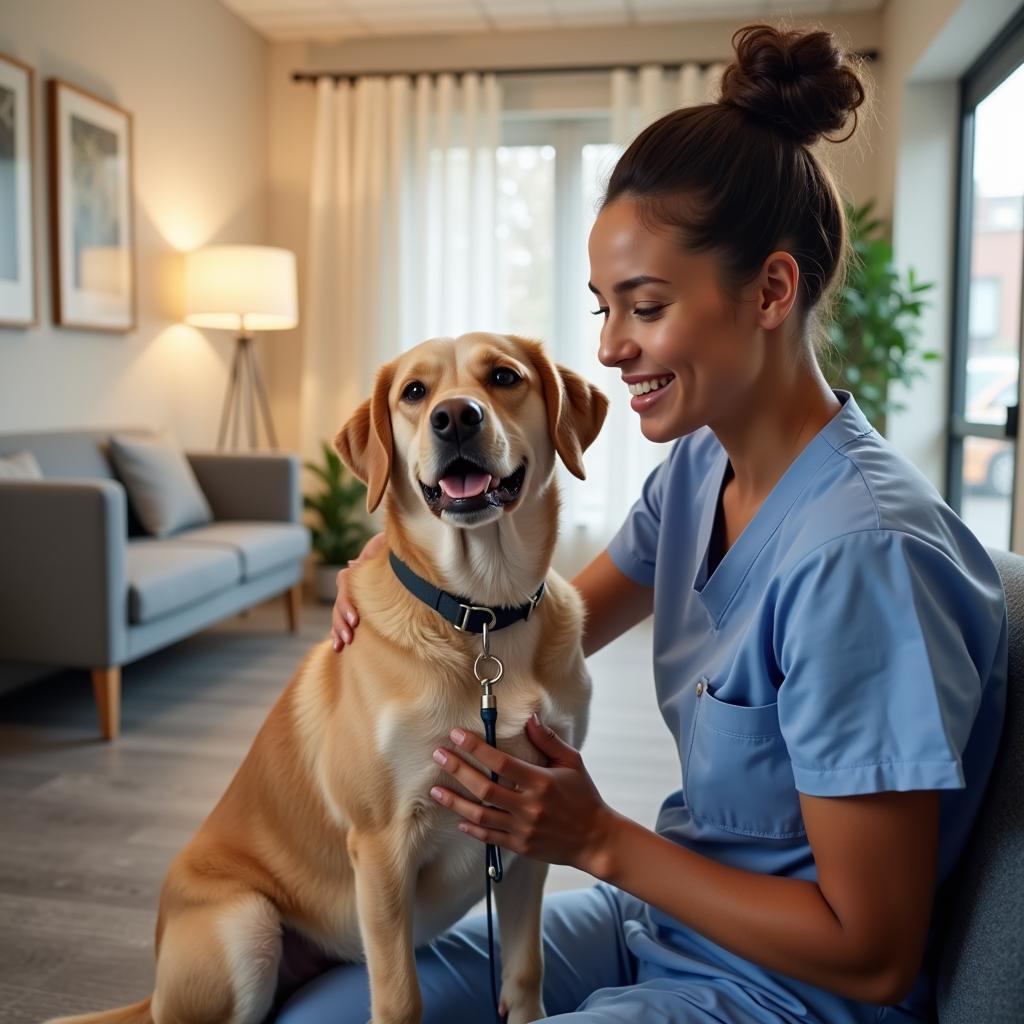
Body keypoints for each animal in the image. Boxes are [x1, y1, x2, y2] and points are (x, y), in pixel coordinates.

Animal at [48, 335, 602, 1024]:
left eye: (504, 377)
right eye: (414, 392)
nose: (454, 417)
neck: (479, 617)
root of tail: (153, 990)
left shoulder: (527, 825)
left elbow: (526, 971)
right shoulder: (382, 845)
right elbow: (399, 997)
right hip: (247, 929)